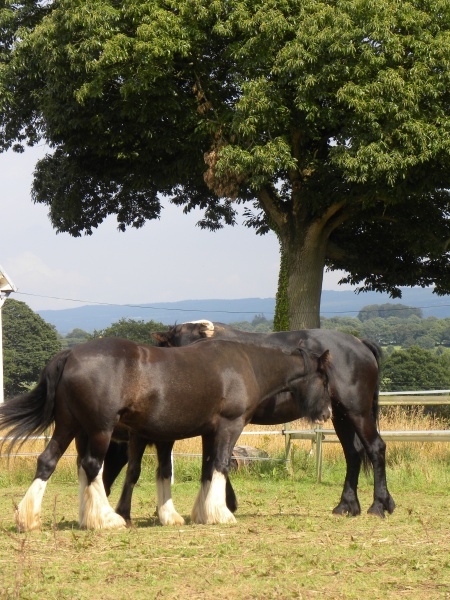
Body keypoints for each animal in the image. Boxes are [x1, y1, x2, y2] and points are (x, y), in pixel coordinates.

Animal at [0, 338, 330, 528]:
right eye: (325, 380)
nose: (327, 413)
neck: (246, 365)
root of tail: (69, 354)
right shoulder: (230, 426)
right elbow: (221, 466)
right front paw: (222, 513)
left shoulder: (208, 432)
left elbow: (205, 470)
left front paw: (200, 514)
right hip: (100, 429)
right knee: (93, 466)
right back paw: (107, 519)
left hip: (72, 426)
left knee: (50, 461)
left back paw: (35, 519)